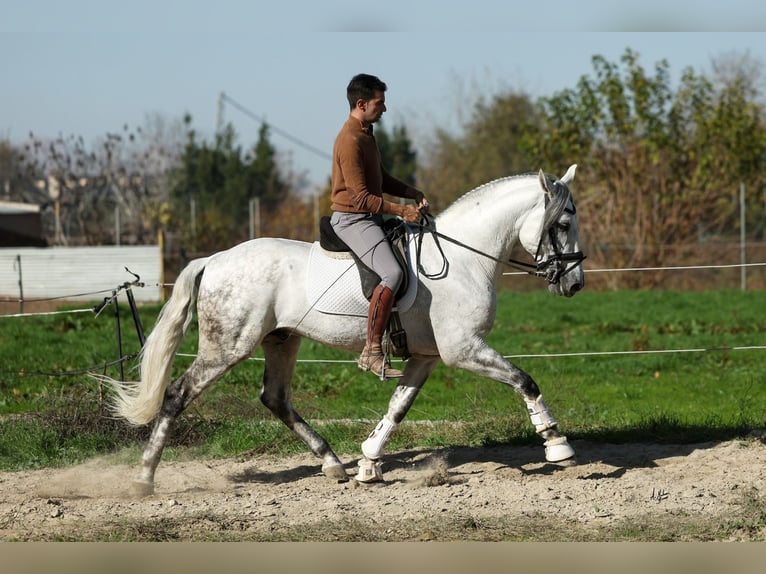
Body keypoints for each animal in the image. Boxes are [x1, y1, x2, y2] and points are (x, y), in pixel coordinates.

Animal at [109, 164, 588, 498]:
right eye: (563, 224)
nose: (575, 284)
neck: (464, 259)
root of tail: (215, 259)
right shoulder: (464, 349)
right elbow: (525, 380)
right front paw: (557, 444)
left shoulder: (427, 358)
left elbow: (398, 407)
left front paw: (369, 464)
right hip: (227, 346)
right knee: (177, 395)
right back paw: (143, 479)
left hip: (281, 340)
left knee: (275, 398)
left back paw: (333, 463)